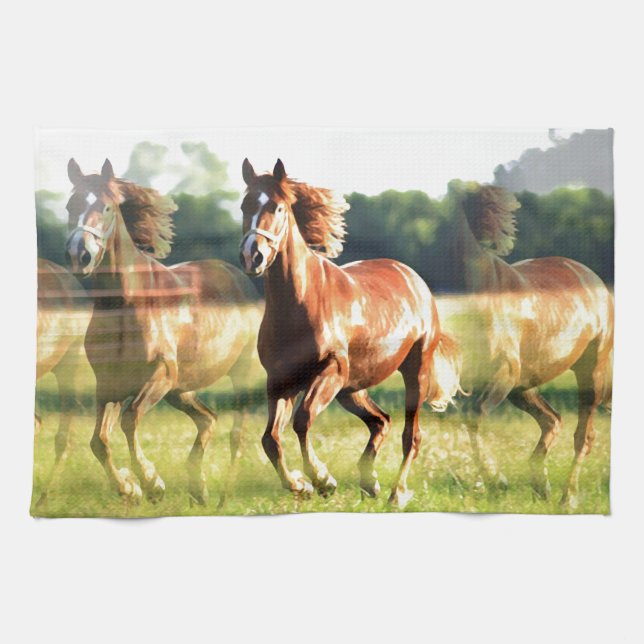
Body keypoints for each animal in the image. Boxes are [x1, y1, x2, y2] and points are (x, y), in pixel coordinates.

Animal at [64, 158, 262, 505]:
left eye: (105, 207)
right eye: (69, 205)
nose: (79, 254)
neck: (127, 304)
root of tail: (238, 276)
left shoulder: (161, 374)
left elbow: (130, 419)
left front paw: (151, 481)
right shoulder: (110, 384)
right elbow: (99, 441)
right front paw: (128, 487)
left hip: (237, 374)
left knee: (237, 434)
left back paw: (226, 495)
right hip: (181, 390)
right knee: (208, 419)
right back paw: (199, 489)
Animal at [239, 159, 461, 508]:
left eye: (277, 207)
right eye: (244, 205)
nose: (253, 256)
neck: (301, 302)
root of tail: (414, 279)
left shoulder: (331, 369)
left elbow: (303, 420)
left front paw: (322, 479)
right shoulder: (280, 382)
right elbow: (270, 439)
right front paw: (300, 485)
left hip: (413, 372)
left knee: (410, 436)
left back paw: (396, 494)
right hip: (352, 388)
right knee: (381, 421)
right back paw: (370, 483)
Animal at [445, 180, 613, 509]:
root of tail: (592, 278)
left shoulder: (503, 375)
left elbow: (474, 416)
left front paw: (496, 479)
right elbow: (464, 419)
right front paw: (495, 481)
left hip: (588, 374)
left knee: (582, 437)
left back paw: (567, 497)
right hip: (524, 387)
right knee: (552, 421)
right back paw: (542, 486)